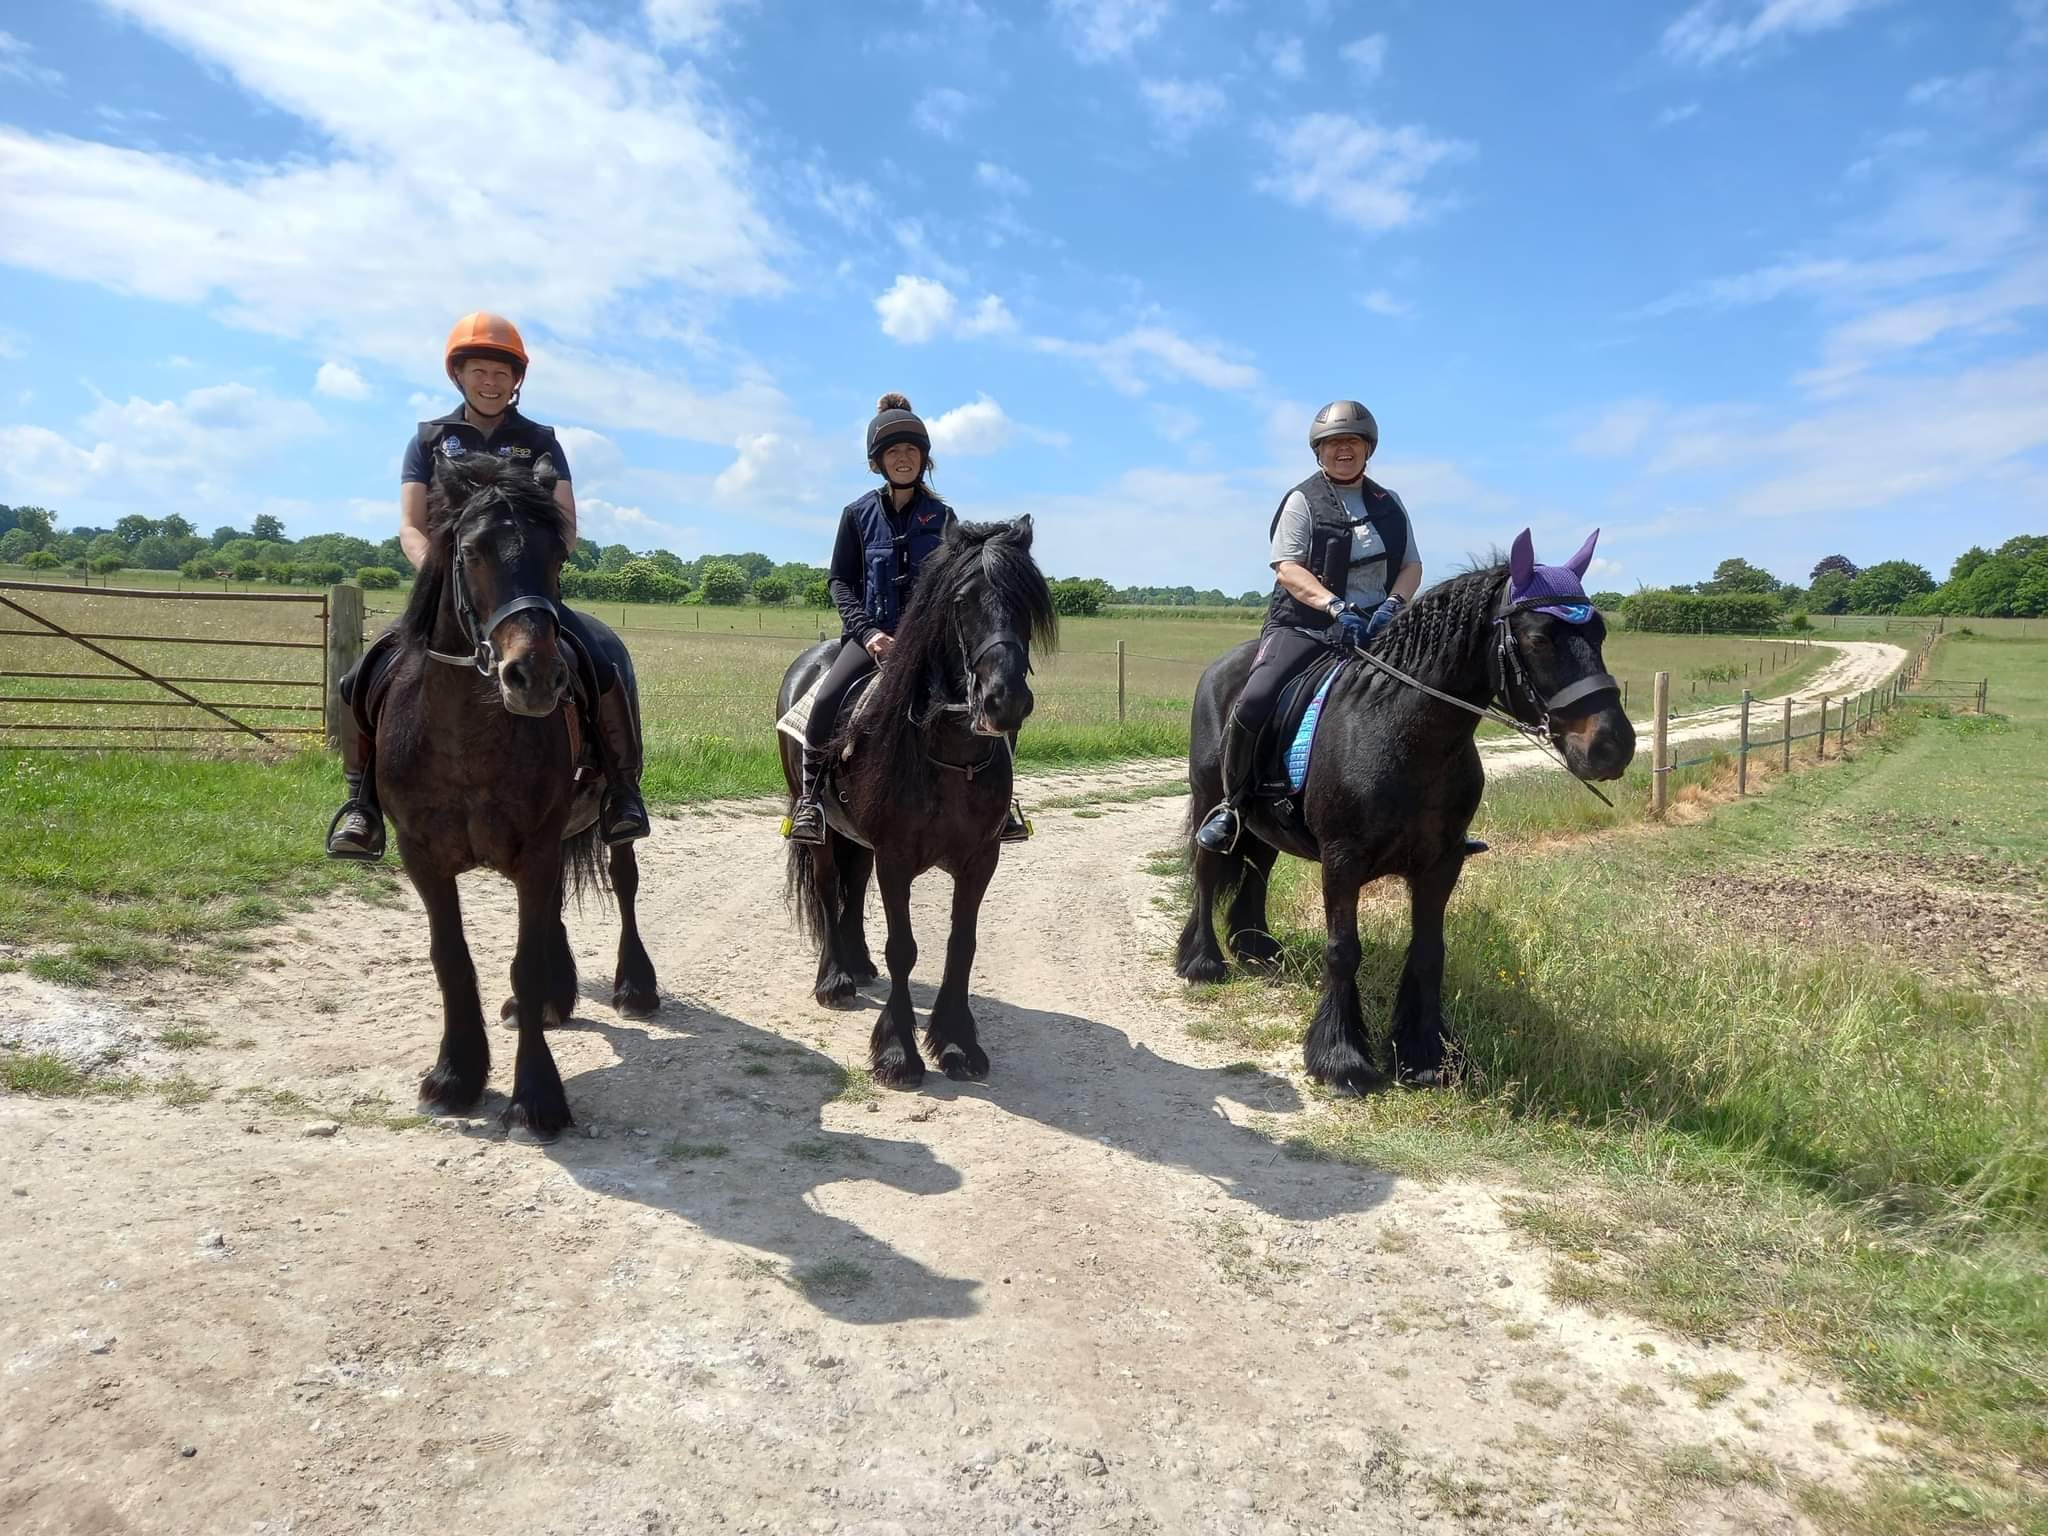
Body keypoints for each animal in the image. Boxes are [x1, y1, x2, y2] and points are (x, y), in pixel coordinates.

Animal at [770, 524, 1048, 1089]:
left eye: (1028, 602)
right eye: (961, 601)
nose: (1005, 700)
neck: (949, 755)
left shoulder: (980, 860)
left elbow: (961, 945)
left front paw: (957, 1043)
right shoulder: (896, 858)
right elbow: (904, 948)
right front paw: (899, 1052)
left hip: (856, 836)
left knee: (853, 888)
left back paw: (857, 964)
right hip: (823, 829)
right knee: (829, 886)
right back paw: (835, 979)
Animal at [1187, 528, 1630, 1097]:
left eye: (1598, 632)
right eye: (1538, 639)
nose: (1612, 746)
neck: (1402, 732)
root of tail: (1223, 667)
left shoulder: (1442, 864)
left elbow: (1427, 954)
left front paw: (1424, 1055)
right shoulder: (1342, 863)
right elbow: (1343, 950)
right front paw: (1341, 1058)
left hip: (1265, 825)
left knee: (1257, 869)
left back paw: (1257, 948)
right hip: (1207, 799)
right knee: (1206, 871)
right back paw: (1202, 961)